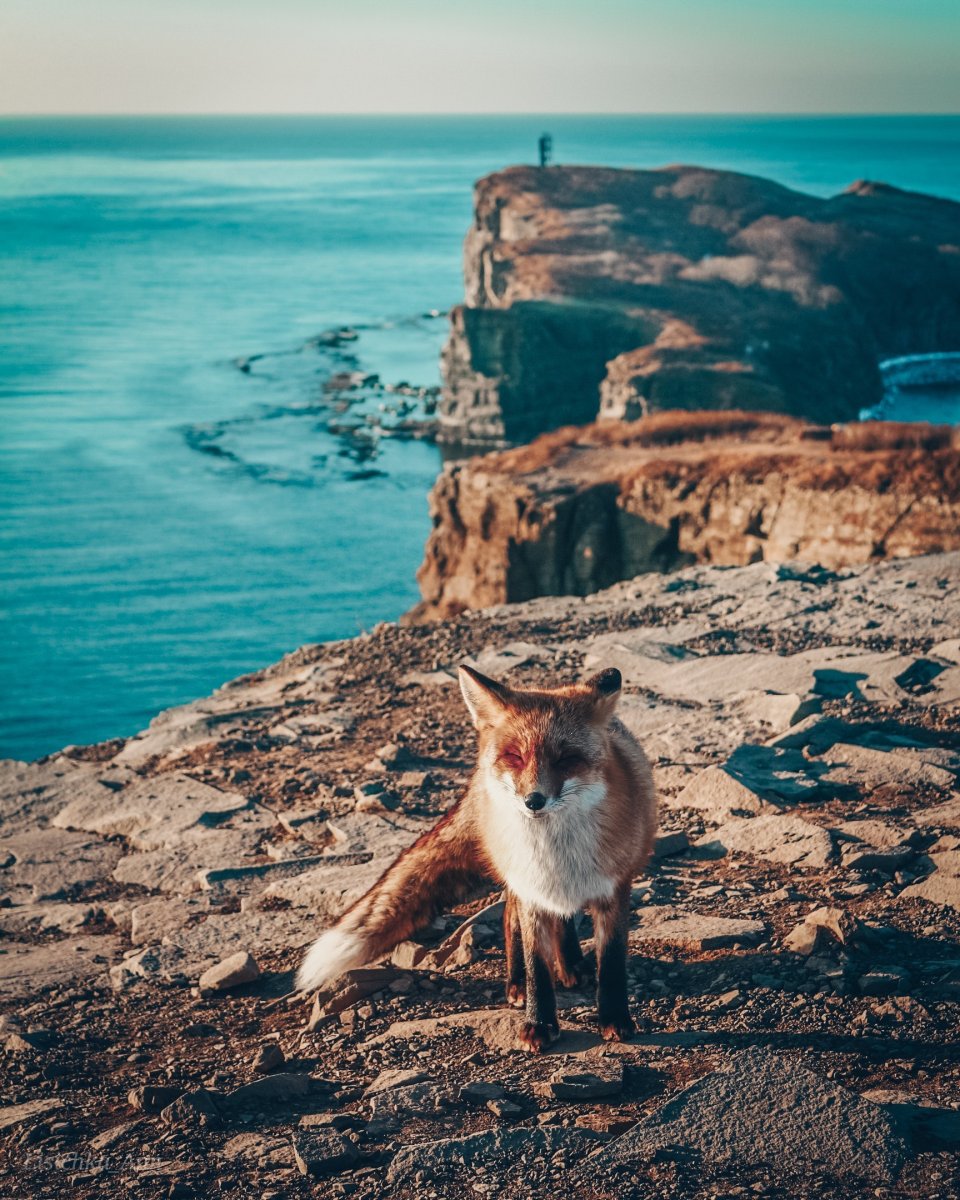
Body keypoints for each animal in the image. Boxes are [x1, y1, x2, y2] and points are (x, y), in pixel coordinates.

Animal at [295, 663, 657, 1051]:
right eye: (515, 756)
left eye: (566, 759)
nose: (533, 801)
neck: (558, 852)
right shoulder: (532, 891)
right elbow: (537, 965)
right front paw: (539, 1023)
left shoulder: (614, 890)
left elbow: (613, 963)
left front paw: (615, 1018)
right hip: (516, 879)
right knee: (510, 920)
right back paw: (518, 982)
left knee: (558, 919)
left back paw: (572, 965)